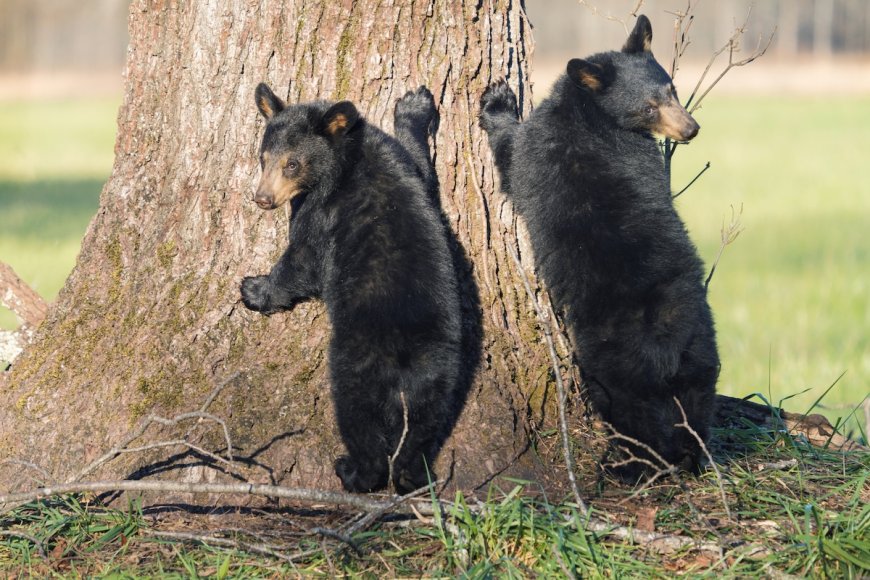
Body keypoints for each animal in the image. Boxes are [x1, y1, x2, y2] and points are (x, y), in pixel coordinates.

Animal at [241, 83, 462, 495]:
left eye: (292, 164)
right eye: (263, 159)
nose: (262, 199)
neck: (348, 155)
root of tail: (404, 370)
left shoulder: (320, 210)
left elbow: (303, 259)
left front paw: (255, 289)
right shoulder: (401, 164)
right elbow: (424, 174)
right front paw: (415, 106)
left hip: (356, 371)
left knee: (362, 427)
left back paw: (352, 471)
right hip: (439, 377)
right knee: (421, 435)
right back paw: (414, 476)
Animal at [479, 15, 719, 480]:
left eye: (671, 91)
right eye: (650, 106)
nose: (692, 129)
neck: (590, 113)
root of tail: (667, 344)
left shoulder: (542, 147)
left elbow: (512, 157)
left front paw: (497, 101)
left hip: (611, 359)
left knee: (632, 412)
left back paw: (631, 466)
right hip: (701, 352)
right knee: (695, 405)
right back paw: (693, 455)